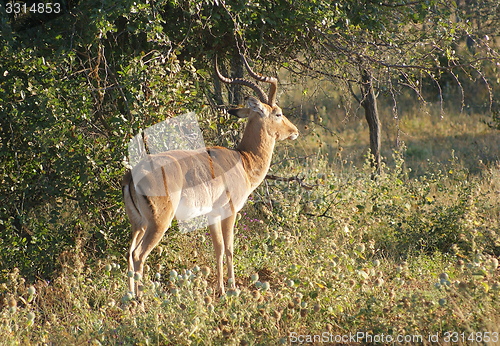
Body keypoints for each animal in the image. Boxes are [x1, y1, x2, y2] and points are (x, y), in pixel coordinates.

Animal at [122, 54, 298, 294]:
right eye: (278, 113)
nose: (294, 131)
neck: (243, 160)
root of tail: (133, 175)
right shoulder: (229, 212)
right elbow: (230, 249)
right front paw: (233, 290)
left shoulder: (212, 214)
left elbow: (218, 249)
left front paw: (222, 291)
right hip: (158, 223)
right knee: (139, 255)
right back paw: (142, 300)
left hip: (138, 223)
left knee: (129, 253)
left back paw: (129, 299)